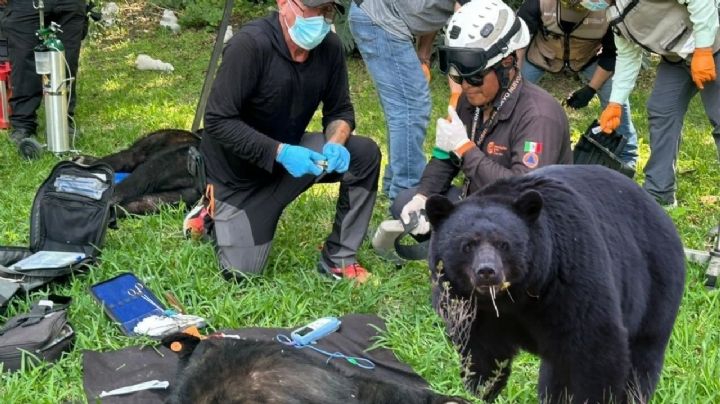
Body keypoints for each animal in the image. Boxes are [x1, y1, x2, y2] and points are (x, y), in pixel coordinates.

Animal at [425, 165, 685, 404]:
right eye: (467, 245)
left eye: (504, 244)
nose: (487, 272)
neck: (517, 295)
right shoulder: (469, 307)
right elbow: (481, 352)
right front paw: (483, 390)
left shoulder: (569, 275)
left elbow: (595, 346)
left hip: (656, 283)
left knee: (643, 355)